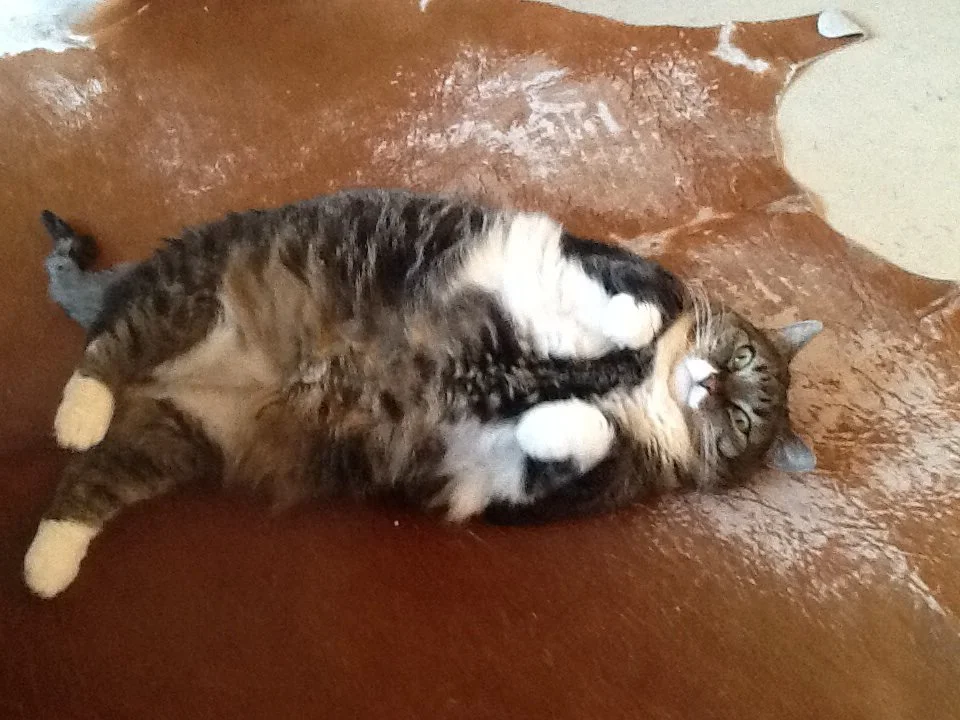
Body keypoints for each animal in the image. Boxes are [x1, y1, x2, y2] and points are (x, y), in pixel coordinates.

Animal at [25, 188, 820, 599]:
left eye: (742, 418)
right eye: (742, 357)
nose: (711, 381)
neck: (637, 383)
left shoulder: (520, 491)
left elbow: (579, 440)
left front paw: (557, 420)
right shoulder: (581, 264)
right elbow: (623, 305)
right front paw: (632, 330)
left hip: (176, 439)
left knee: (89, 482)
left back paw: (46, 566)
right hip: (186, 297)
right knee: (107, 349)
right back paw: (78, 414)